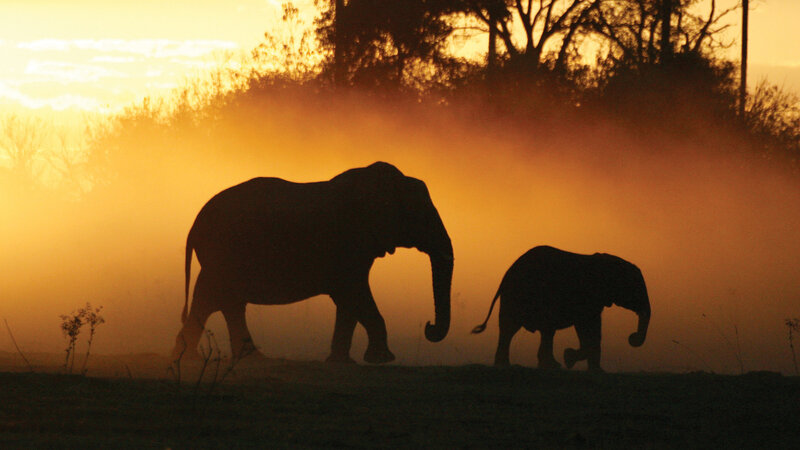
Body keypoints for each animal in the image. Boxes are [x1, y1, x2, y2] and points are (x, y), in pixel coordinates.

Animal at [172, 163, 454, 366]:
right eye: (422, 217)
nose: (428, 326)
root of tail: (194, 224)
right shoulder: (347, 242)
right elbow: (354, 293)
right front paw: (382, 360)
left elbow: (349, 301)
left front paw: (342, 362)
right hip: (223, 253)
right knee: (215, 300)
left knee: (221, 302)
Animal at [472, 244, 648, 370]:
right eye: (636, 289)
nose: (631, 337)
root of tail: (505, 276)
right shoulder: (587, 296)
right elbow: (585, 326)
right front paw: (569, 358)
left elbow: (594, 329)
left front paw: (597, 371)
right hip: (518, 296)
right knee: (516, 328)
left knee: (525, 330)